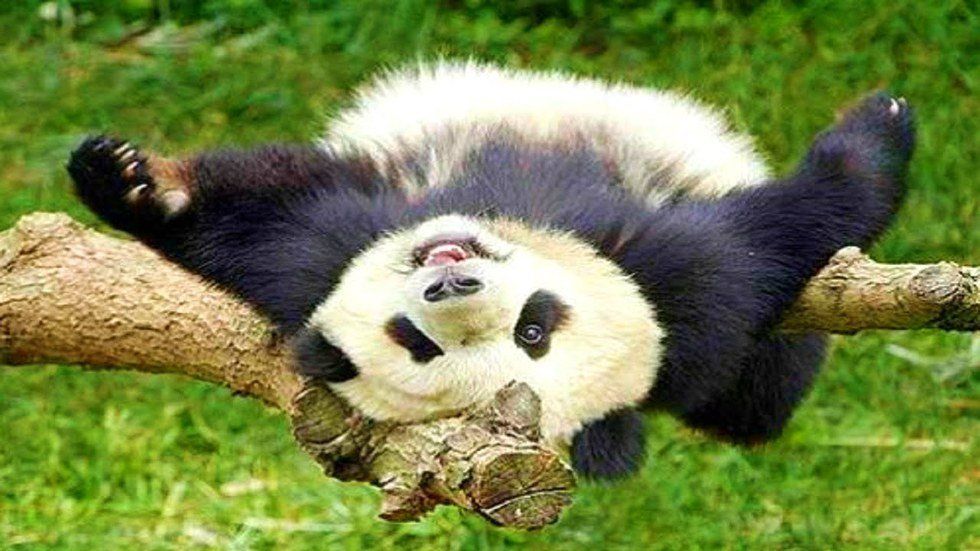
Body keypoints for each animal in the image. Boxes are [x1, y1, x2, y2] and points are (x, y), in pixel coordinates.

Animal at [67, 62, 915, 479]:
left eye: (533, 329)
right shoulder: (321, 259)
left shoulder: (688, 295)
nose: (450, 277)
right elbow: (264, 220)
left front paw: (880, 126)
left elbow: (775, 234)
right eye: (417, 340)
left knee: (764, 391)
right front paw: (134, 183)